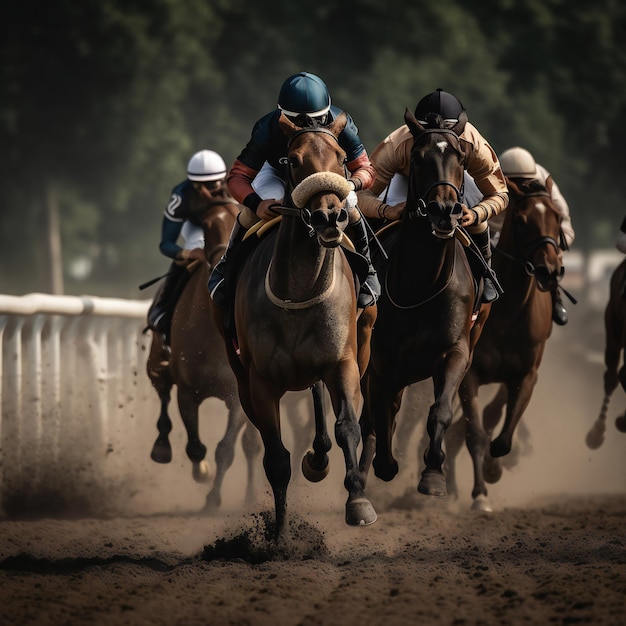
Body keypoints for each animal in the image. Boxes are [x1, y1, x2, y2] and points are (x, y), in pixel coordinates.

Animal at [146, 194, 260, 508]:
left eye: (240, 218)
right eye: (207, 227)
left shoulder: (238, 397)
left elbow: (226, 448)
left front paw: (213, 498)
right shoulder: (188, 392)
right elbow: (195, 447)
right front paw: (203, 474)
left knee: (251, 445)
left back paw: (250, 496)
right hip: (156, 364)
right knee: (162, 393)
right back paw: (161, 447)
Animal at [216, 111, 376, 536]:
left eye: (342, 158)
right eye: (292, 161)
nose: (329, 216)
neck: (300, 291)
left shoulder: (342, 363)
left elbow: (347, 426)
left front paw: (358, 502)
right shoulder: (260, 381)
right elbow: (275, 457)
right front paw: (280, 534)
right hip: (240, 374)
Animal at [354, 107, 486, 498]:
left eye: (461, 158)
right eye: (417, 157)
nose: (444, 210)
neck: (420, 285)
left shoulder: (456, 351)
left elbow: (439, 410)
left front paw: (433, 475)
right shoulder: (380, 362)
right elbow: (379, 418)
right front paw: (384, 465)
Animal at [448, 174, 560, 508]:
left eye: (557, 217)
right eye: (522, 221)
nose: (549, 270)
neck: (509, 313)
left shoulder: (525, 374)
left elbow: (502, 433)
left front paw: (494, 467)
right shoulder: (469, 374)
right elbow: (475, 432)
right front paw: (480, 494)